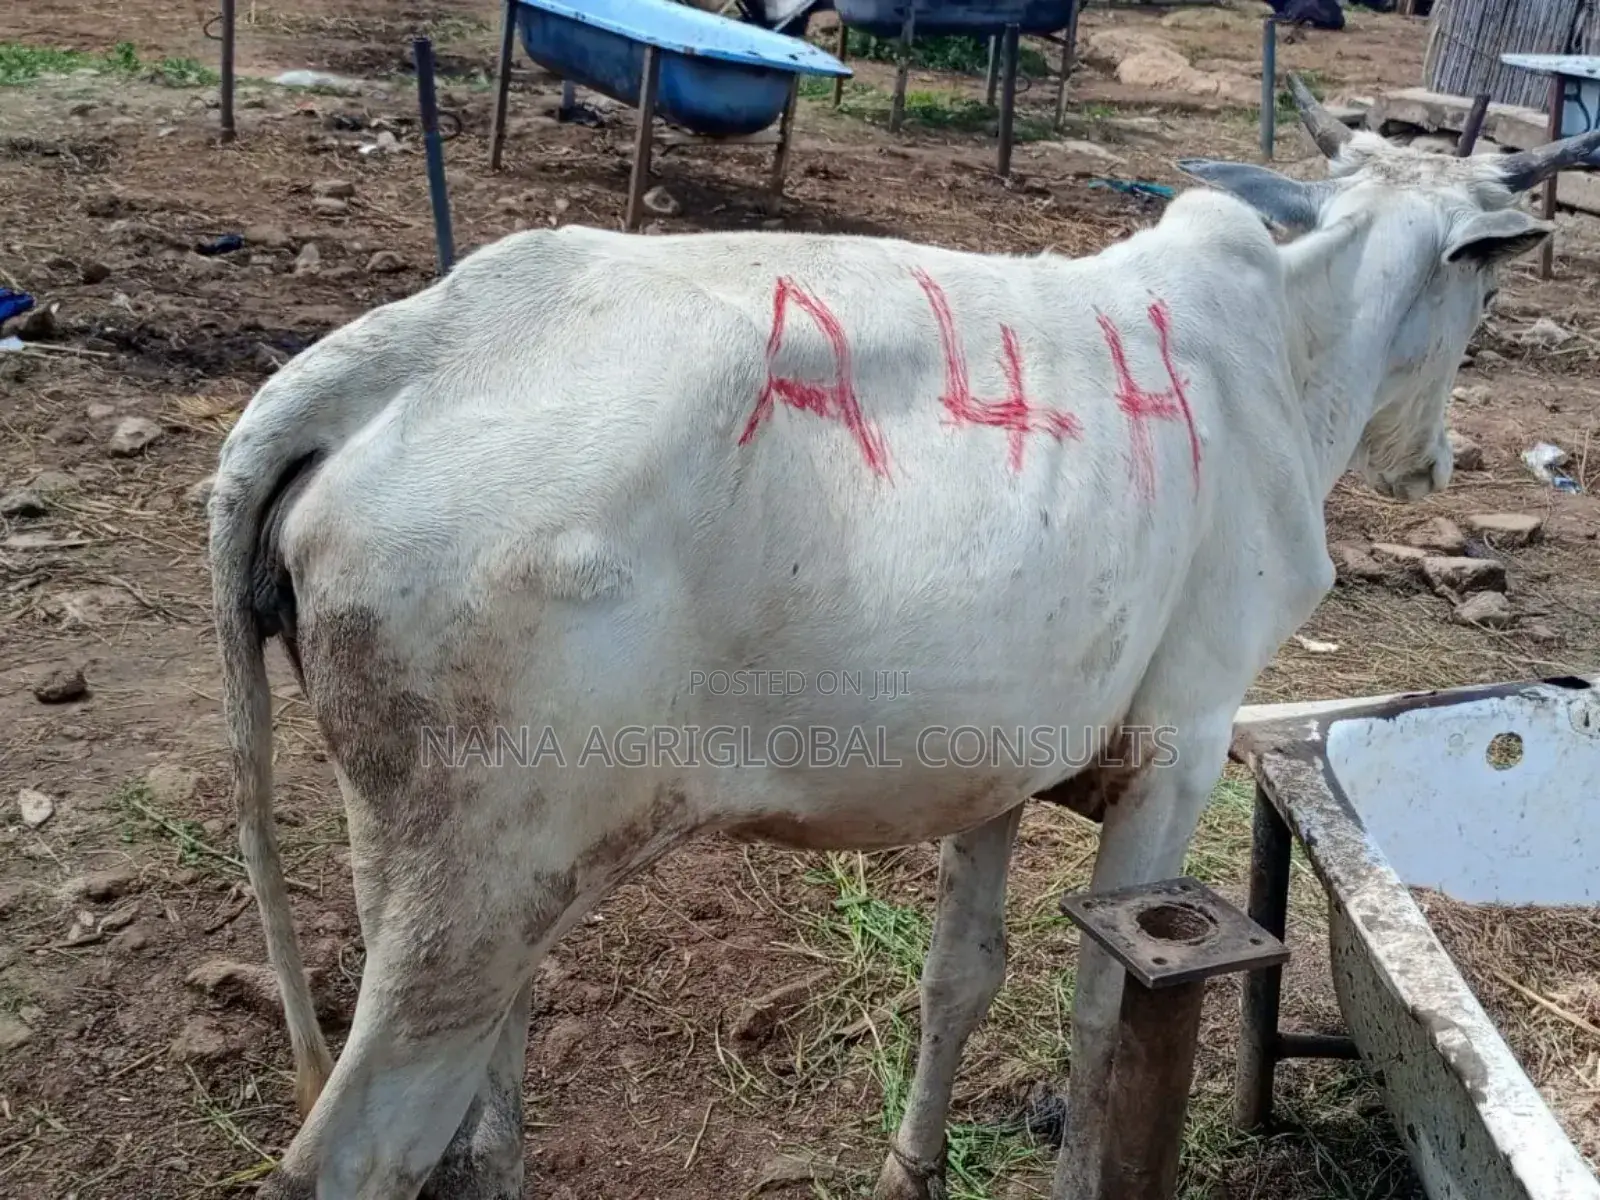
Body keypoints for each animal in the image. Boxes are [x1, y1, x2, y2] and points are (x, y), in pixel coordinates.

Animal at [208, 77, 1600, 1200]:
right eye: (1484, 270)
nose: (1433, 461)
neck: (1288, 353)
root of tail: (409, 345)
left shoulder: (1001, 760)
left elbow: (958, 977)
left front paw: (909, 1166)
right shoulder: (1183, 746)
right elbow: (1100, 1021)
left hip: (443, 877)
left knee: (479, 1132)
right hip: (482, 885)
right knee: (363, 1156)